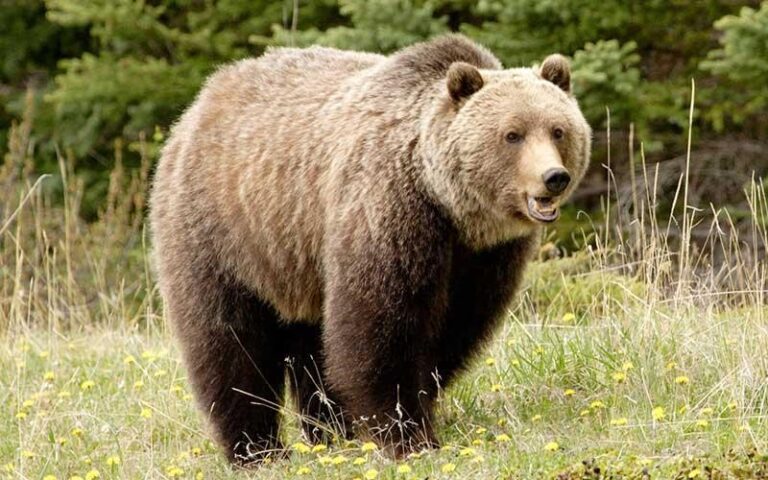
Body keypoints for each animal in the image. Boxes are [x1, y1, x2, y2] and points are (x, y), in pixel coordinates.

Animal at [149, 34, 591, 465]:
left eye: (558, 130)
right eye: (512, 134)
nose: (553, 177)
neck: (449, 205)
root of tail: (198, 104)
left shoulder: (485, 256)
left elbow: (454, 329)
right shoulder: (387, 210)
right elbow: (381, 329)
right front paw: (408, 436)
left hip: (299, 258)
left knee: (312, 344)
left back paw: (329, 433)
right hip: (225, 231)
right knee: (230, 340)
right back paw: (258, 448)